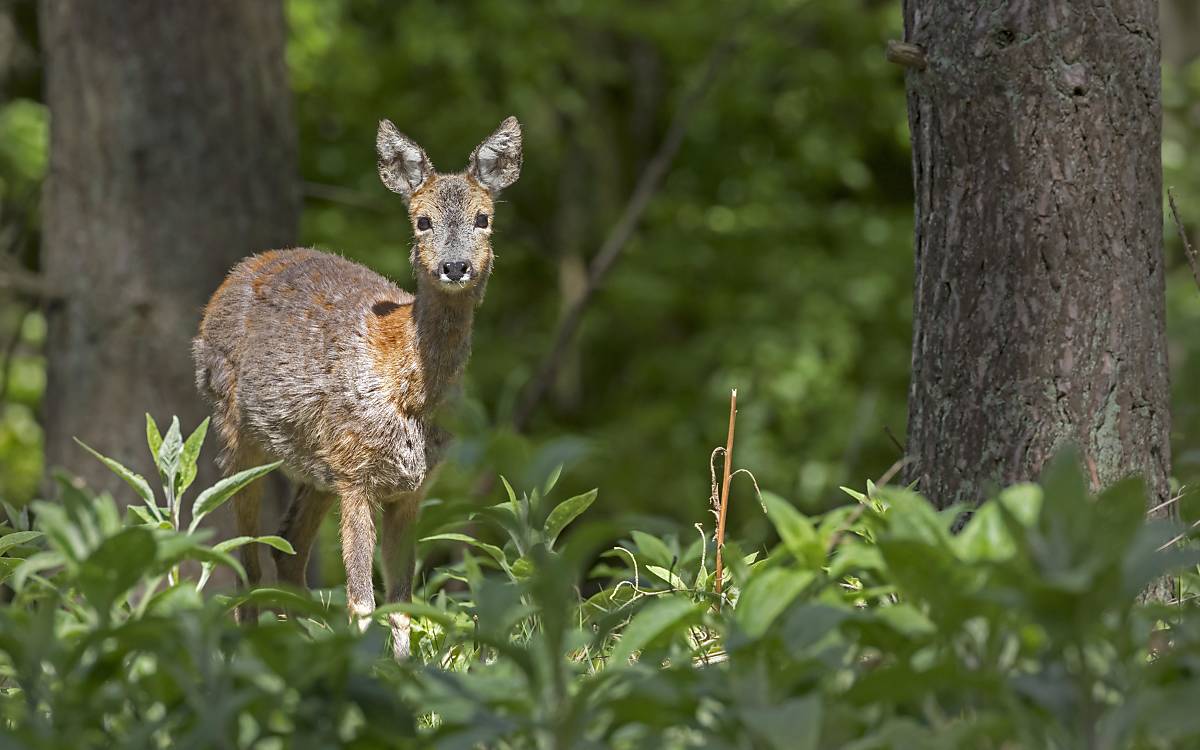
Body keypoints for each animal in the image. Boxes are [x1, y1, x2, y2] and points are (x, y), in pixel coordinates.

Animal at [192, 115, 520, 652]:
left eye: (483, 218)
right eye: (422, 221)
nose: (455, 267)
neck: (407, 389)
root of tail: (238, 273)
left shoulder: (410, 487)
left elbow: (403, 601)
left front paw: (406, 666)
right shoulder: (356, 477)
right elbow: (362, 601)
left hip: (316, 463)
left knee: (288, 550)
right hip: (236, 434)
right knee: (246, 555)